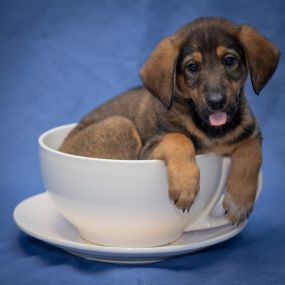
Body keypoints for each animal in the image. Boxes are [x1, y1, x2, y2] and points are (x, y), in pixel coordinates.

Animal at [58, 17, 278, 224]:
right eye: (192, 67)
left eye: (229, 61)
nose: (216, 102)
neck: (212, 130)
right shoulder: (147, 153)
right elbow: (179, 139)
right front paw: (185, 185)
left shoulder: (251, 133)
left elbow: (251, 154)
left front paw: (239, 201)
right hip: (120, 125)